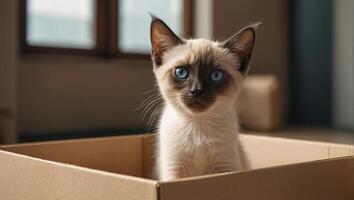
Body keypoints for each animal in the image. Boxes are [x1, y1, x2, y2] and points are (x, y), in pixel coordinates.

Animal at [149, 16, 258, 180]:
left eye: (216, 75)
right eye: (181, 72)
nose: (196, 90)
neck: (197, 126)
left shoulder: (226, 169)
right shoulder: (174, 172)